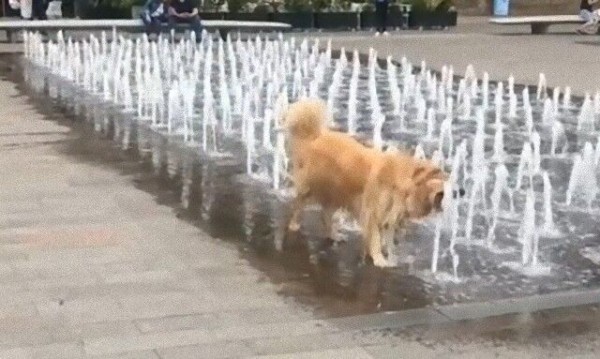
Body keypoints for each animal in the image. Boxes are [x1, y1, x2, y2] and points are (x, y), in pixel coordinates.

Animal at [286, 98, 450, 268]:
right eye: (440, 178)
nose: (457, 191)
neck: (404, 184)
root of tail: (314, 136)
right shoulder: (373, 211)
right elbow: (376, 238)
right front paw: (379, 258)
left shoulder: (389, 214)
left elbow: (385, 236)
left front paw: (386, 254)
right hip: (314, 187)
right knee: (299, 205)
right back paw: (294, 225)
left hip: (337, 192)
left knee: (325, 215)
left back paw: (333, 235)